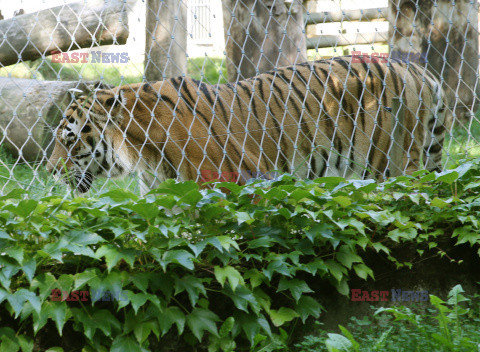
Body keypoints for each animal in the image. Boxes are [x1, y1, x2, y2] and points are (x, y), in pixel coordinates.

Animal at [44, 57, 450, 195]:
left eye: (69, 139)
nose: (49, 170)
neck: (138, 148)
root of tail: (418, 71)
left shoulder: (223, 182)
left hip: (390, 165)